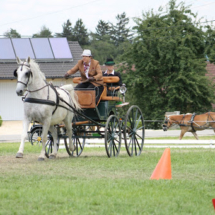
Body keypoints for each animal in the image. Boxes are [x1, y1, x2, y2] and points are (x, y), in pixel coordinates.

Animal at [13, 56, 144, 160]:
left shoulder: (46, 119)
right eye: (17, 73)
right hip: (55, 121)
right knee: (57, 134)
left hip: (66, 118)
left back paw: (72, 148)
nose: (19, 91)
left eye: (27, 73)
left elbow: (44, 137)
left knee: (70, 132)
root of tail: (66, 90)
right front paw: (19, 153)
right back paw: (54, 154)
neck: (39, 95)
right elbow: (25, 135)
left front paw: (41, 156)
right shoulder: (28, 118)